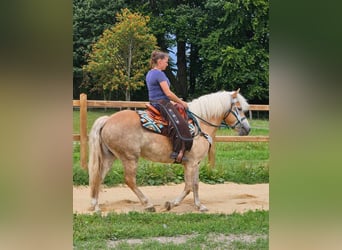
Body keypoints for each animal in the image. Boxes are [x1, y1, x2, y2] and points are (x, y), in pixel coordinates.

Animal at [87, 89, 250, 212]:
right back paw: (148, 204)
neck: (200, 125)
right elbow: (189, 186)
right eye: (239, 108)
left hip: (110, 157)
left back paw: (95, 206)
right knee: (129, 180)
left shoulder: (194, 163)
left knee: (98, 177)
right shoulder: (191, 163)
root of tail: (107, 120)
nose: (247, 129)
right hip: (129, 158)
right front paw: (172, 204)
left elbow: (195, 184)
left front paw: (198, 206)